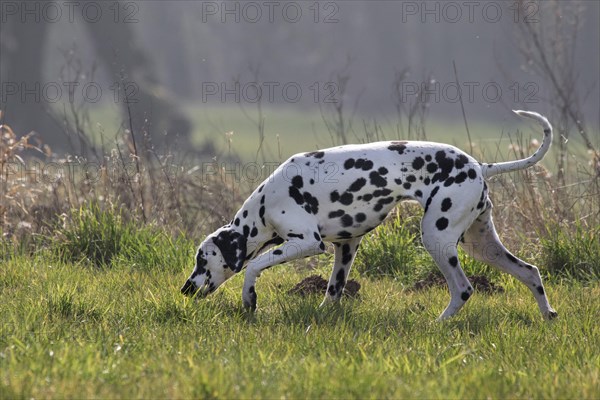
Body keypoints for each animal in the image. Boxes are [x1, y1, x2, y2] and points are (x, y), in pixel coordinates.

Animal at [182, 110, 556, 322]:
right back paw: (548, 316)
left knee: (463, 290)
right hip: (481, 245)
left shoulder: (307, 243)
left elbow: (255, 266)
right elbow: (333, 290)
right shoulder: (345, 248)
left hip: (437, 238)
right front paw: (323, 317)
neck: (265, 203)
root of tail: (480, 165)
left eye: (202, 260)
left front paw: (250, 300)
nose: (185, 289)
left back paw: (439, 324)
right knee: (531, 272)